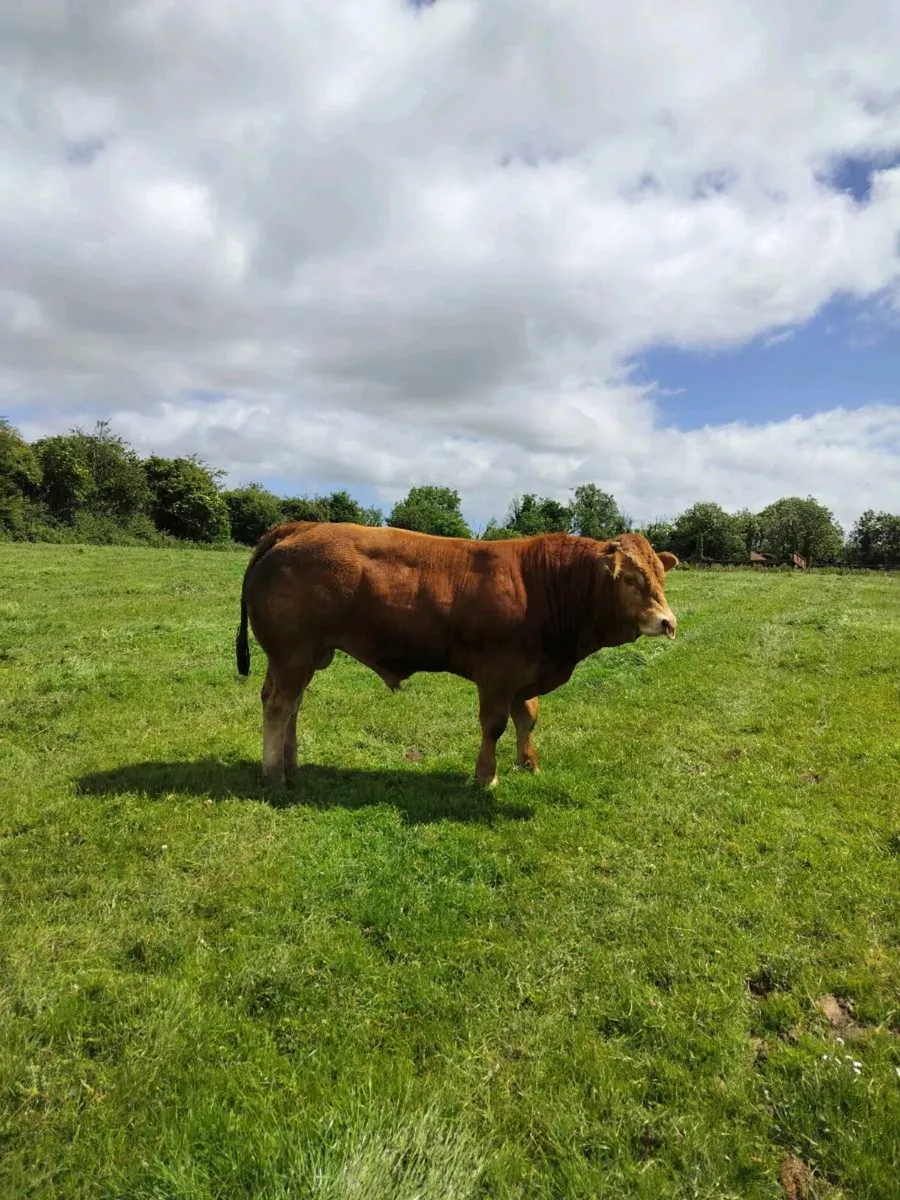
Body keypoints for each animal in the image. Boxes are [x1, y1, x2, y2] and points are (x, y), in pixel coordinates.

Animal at [235, 522, 678, 787]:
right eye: (631, 578)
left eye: (661, 575)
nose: (668, 622)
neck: (544, 583)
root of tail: (300, 526)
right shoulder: (498, 673)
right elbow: (495, 725)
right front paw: (487, 776)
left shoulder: (525, 673)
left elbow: (528, 718)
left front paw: (528, 764)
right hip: (292, 653)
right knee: (279, 705)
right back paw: (274, 774)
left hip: (305, 655)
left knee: (291, 705)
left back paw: (291, 764)